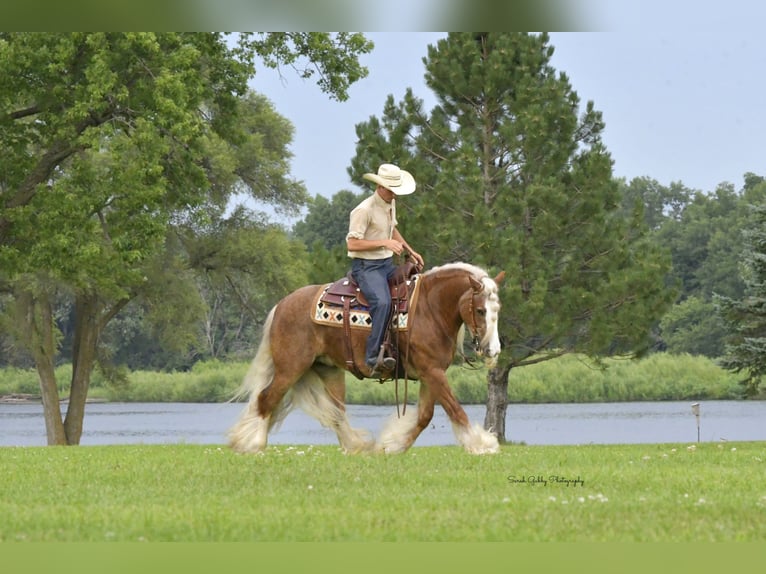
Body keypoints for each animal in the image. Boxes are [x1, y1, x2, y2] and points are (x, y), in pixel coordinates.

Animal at [228, 262, 505, 455]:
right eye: (480, 310)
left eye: (497, 309)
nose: (493, 350)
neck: (429, 308)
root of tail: (282, 305)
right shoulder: (432, 372)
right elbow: (455, 409)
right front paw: (482, 444)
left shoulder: (431, 373)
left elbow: (425, 416)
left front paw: (392, 445)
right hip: (290, 368)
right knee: (266, 399)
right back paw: (252, 443)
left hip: (329, 370)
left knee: (336, 412)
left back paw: (355, 445)